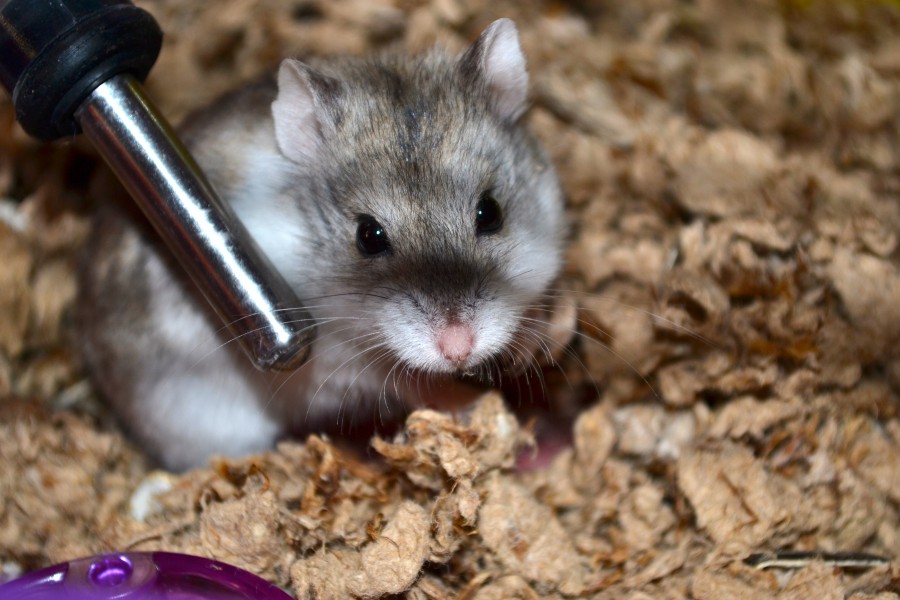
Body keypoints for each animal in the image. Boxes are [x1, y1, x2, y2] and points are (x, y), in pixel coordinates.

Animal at [78, 19, 566, 470]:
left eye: (490, 213)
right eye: (368, 236)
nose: (459, 349)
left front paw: (535, 345)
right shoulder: (332, 365)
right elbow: (410, 382)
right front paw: (475, 404)